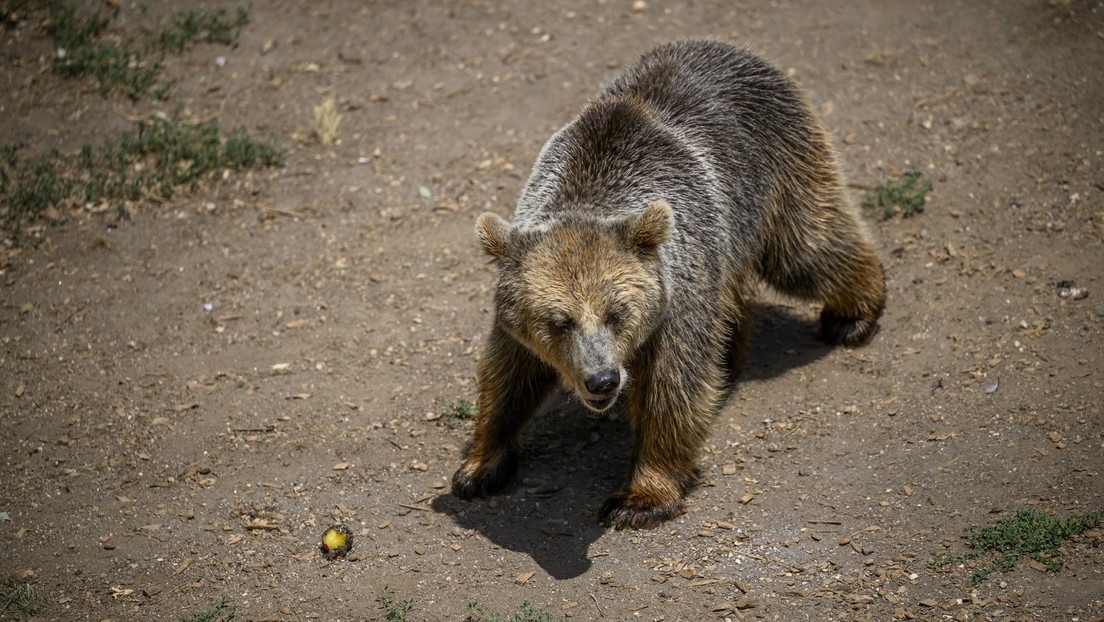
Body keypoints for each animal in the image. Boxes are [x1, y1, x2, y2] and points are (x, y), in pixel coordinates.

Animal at [450, 38, 887, 528]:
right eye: (558, 322)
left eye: (617, 313)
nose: (602, 380)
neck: (590, 187)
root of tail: (729, 47)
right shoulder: (519, 315)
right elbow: (508, 375)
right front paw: (480, 467)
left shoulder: (675, 296)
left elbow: (673, 387)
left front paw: (639, 497)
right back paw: (732, 355)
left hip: (773, 169)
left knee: (808, 247)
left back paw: (853, 315)